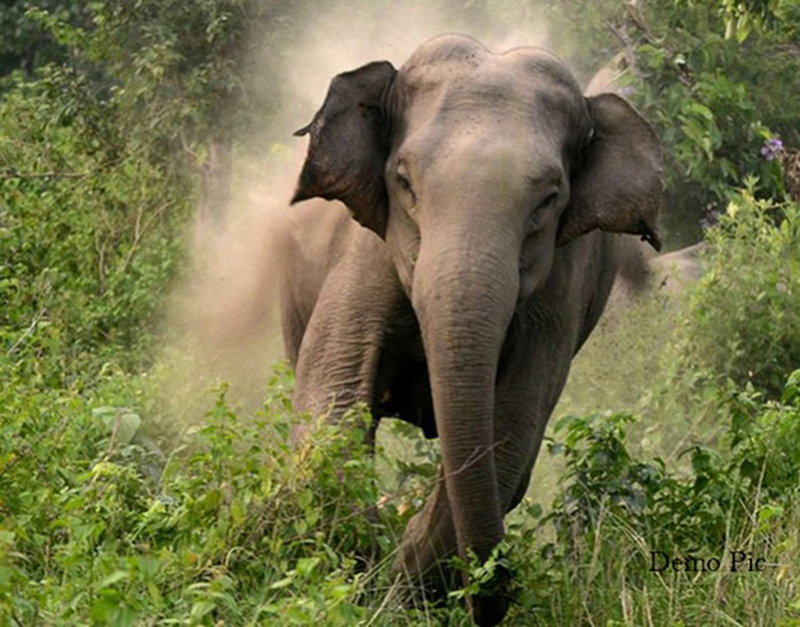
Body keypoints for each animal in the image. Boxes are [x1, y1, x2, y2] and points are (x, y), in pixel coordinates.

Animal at [278, 35, 660, 627]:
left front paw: (402, 591)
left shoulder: (558, 294)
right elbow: (333, 395)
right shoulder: (366, 252)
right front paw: (358, 574)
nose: (498, 596)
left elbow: (511, 432)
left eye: (548, 199)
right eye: (404, 182)